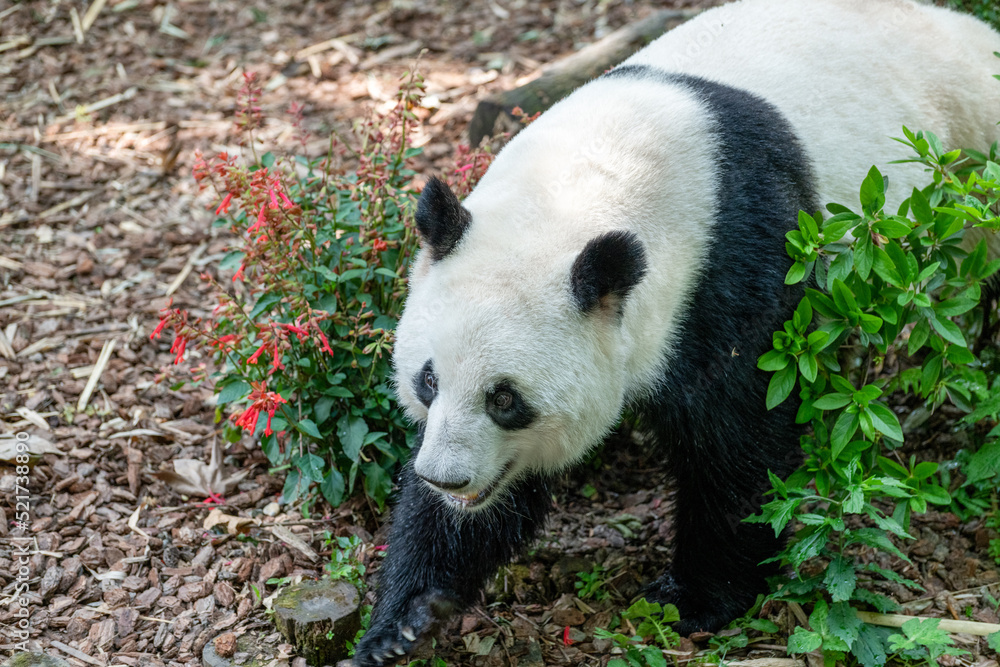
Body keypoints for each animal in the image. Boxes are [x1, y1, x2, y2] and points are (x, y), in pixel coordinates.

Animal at [352, 2, 1000, 664]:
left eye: (505, 399)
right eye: (428, 381)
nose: (445, 477)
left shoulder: (735, 262)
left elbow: (738, 437)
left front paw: (694, 598)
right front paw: (404, 623)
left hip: (974, 176)